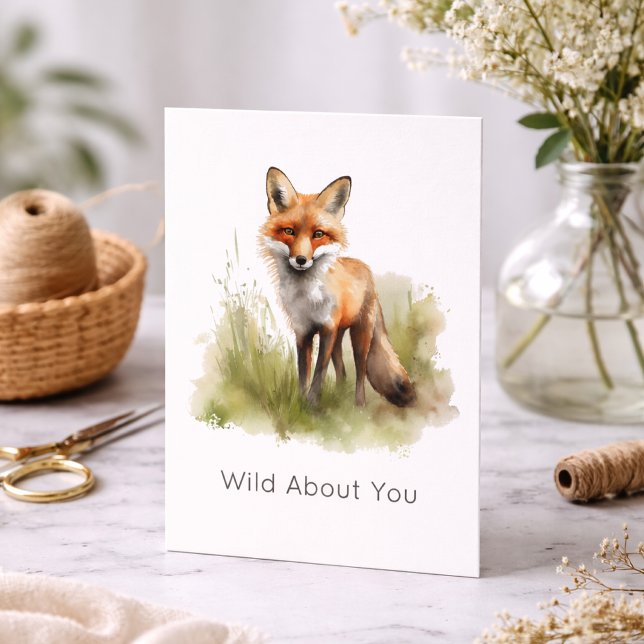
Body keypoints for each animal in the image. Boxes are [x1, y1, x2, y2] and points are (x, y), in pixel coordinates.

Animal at [259, 167, 416, 408]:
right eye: (289, 231)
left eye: (318, 234)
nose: (301, 260)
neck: (307, 297)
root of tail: (366, 269)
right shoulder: (303, 331)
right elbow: (303, 373)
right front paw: (300, 403)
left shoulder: (327, 328)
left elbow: (318, 373)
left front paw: (312, 405)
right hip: (338, 338)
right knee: (342, 372)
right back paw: (340, 398)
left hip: (360, 336)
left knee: (360, 372)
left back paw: (358, 405)